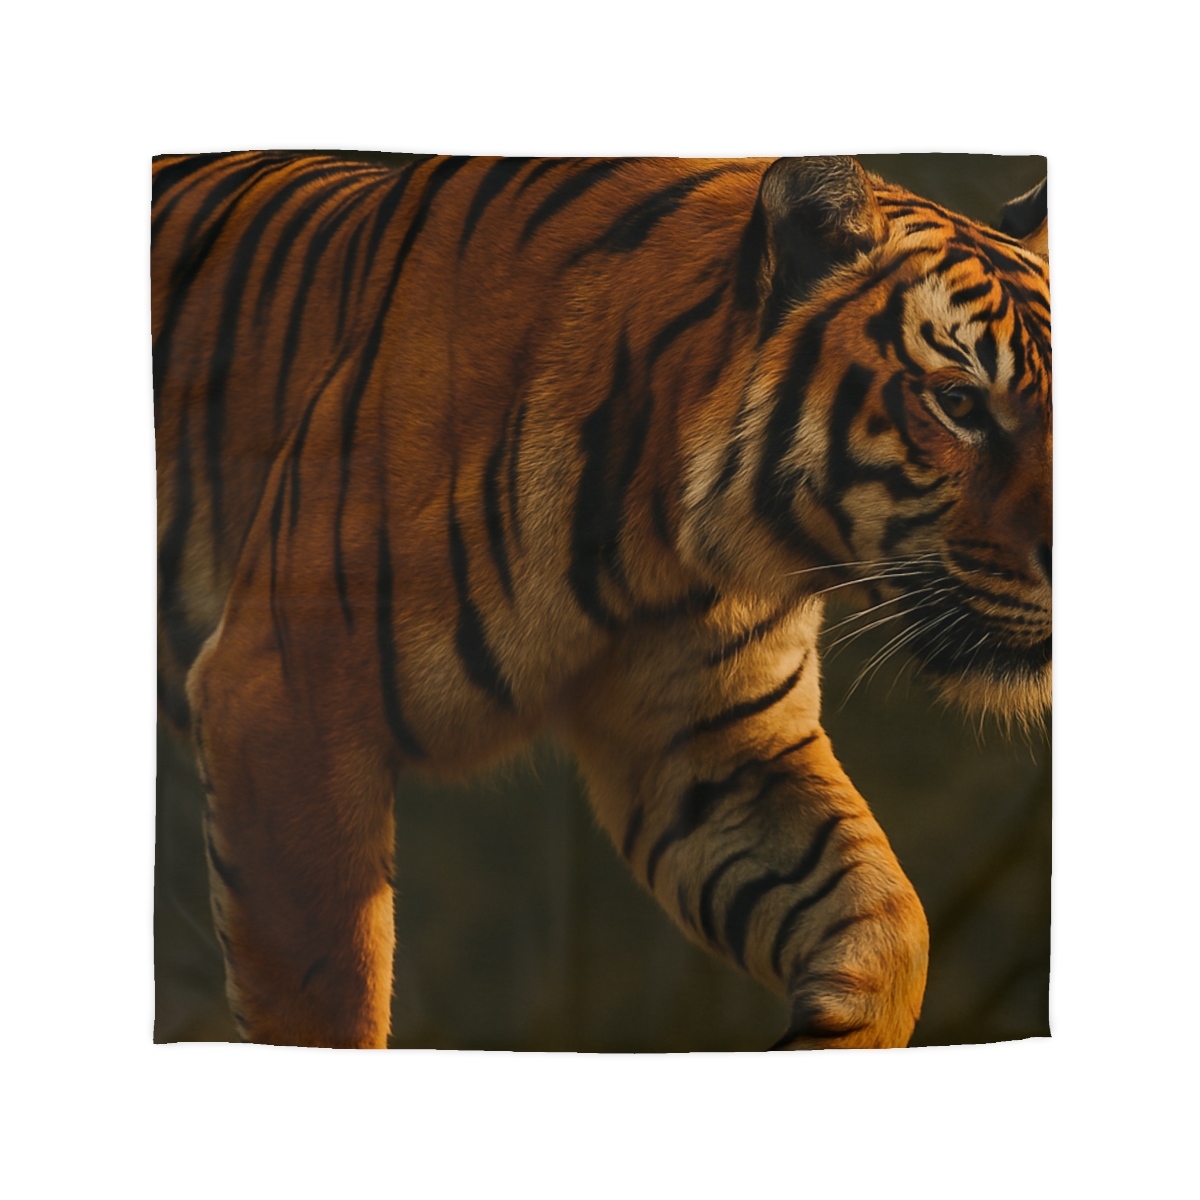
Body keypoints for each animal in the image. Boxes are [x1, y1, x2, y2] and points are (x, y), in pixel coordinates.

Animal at [152, 152, 1051, 1049]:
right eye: (958, 403)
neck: (671, 551)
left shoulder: (721, 749)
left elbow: (891, 923)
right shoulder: (283, 702)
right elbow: (327, 996)